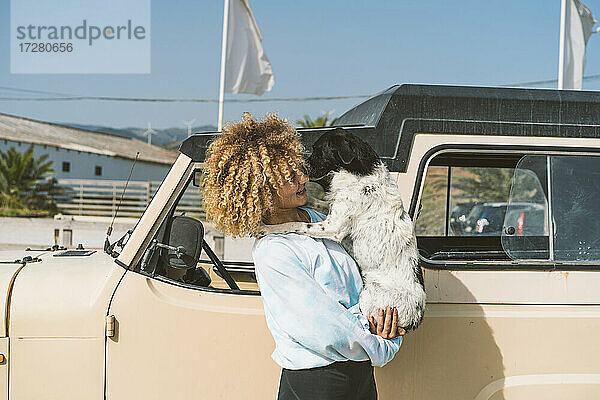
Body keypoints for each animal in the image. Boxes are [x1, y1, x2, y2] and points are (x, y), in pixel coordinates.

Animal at [260, 129, 424, 332]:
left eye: (317, 149)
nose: (299, 169)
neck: (360, 173)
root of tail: (415, 319)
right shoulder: (332, 209)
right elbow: (315, 202)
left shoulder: (333, 227)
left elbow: (294, 225)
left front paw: (265, 228)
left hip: (371, 298)